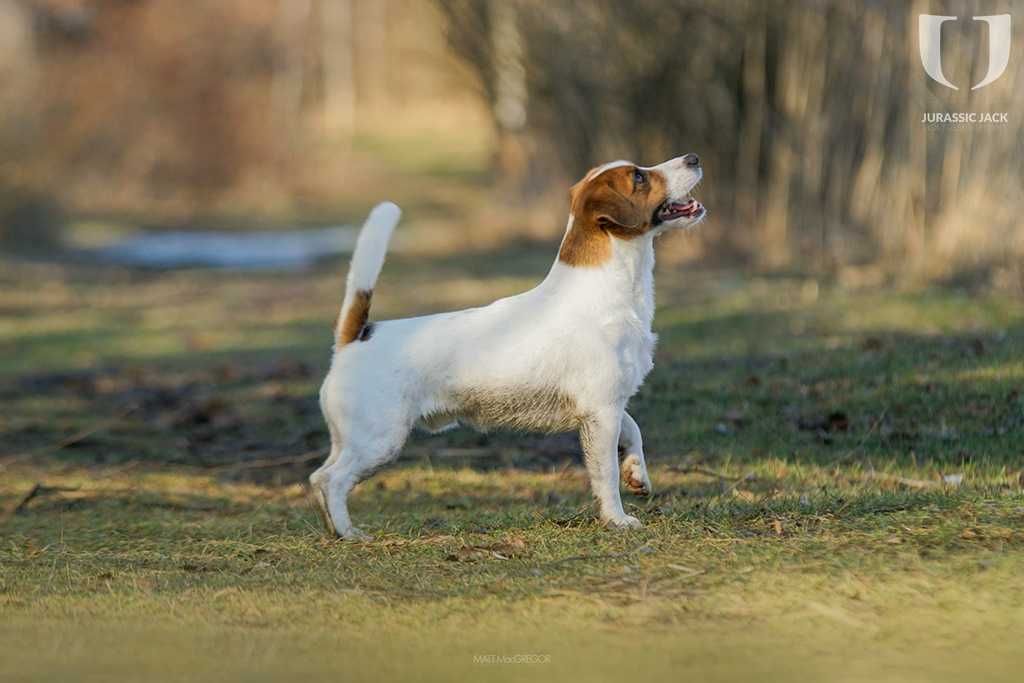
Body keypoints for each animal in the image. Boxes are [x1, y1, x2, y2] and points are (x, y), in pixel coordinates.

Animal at [309, 153, 704, 540]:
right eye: (638, 177)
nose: (694, 158)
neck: (609, 287)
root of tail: (355, 337)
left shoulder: (606, 405)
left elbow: (633, 429)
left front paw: (637, 474)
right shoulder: (602, 410)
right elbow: (604, 473)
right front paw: (617, 520)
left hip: (352, 439)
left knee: (319, 476)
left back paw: (333, 527)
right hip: (378, 439)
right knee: (331, 480)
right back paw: (348, 532)